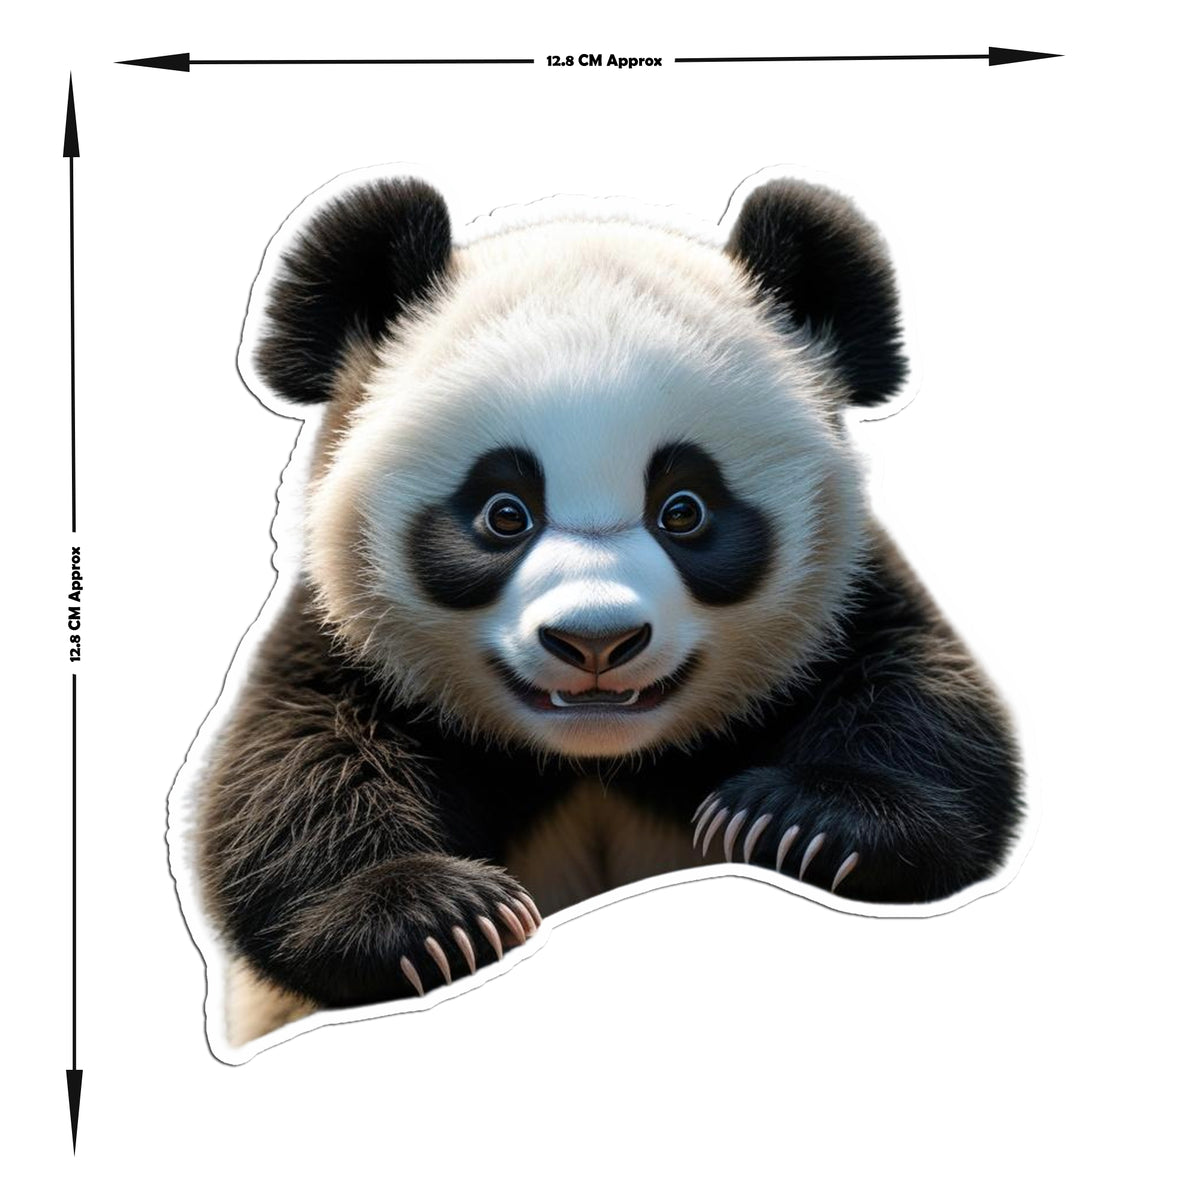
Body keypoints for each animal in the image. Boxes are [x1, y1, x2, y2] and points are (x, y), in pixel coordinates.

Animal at [194, 173, 1022, 1043]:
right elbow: (290, 776)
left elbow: (927, 709)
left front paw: (800, 821)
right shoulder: (347, 641)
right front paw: (435, 918)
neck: (596, 759)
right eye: (504, 513)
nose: (596, 641)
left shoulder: (844, 603)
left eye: (684, 509)